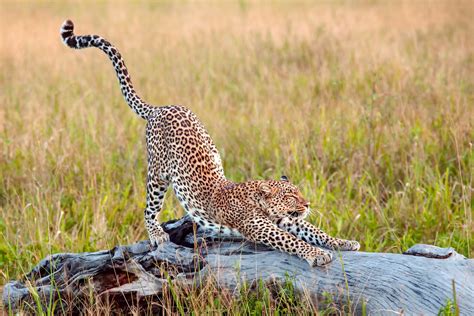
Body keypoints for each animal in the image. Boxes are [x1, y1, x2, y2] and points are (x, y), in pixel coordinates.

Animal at [62, 19, 360, 266]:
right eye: (290, 196)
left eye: (298, 193)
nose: (307, 204)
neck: (258, 200)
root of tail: (161, 107)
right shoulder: (261, 226)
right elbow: (292, 241)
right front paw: (316, 254)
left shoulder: (286, 220)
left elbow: (315, 230)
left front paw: (343, 242)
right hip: (157, 175)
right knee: (149, 208)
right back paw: (157, 234)